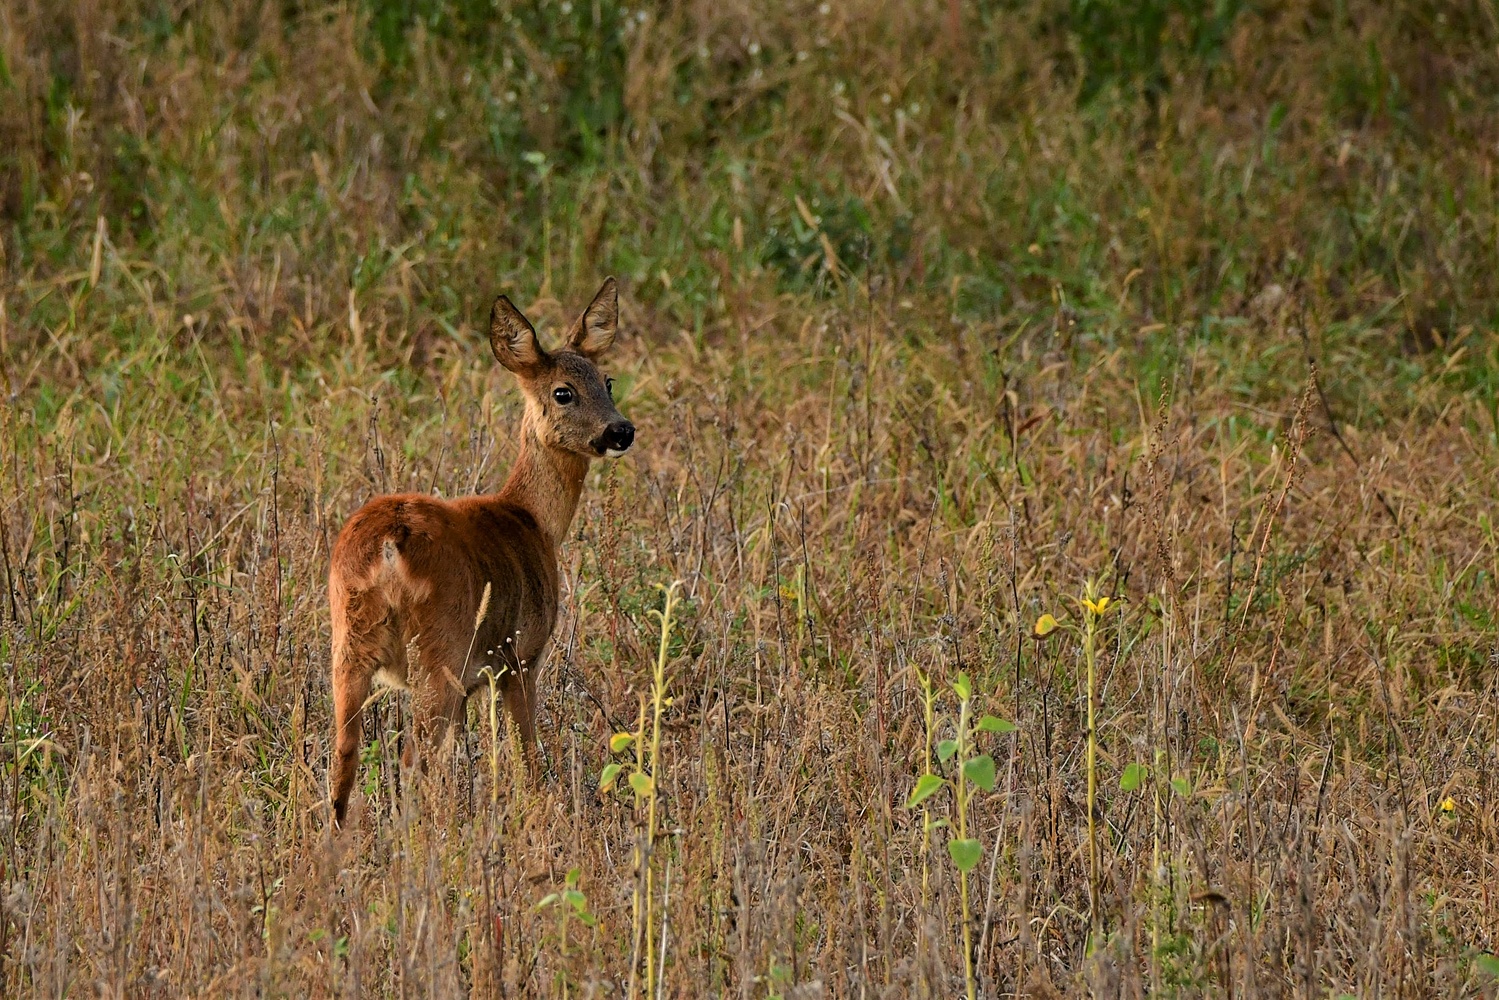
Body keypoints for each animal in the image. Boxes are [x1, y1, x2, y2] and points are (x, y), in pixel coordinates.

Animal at [328, 277, 632, 827]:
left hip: (348, 645)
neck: (531, 519)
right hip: (441, 648)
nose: (621, 430)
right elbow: (525, 755)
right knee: (414, 761)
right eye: (563, 392)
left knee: (342, 762)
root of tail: (388, 543)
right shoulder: (520, 655)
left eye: (608, 381)